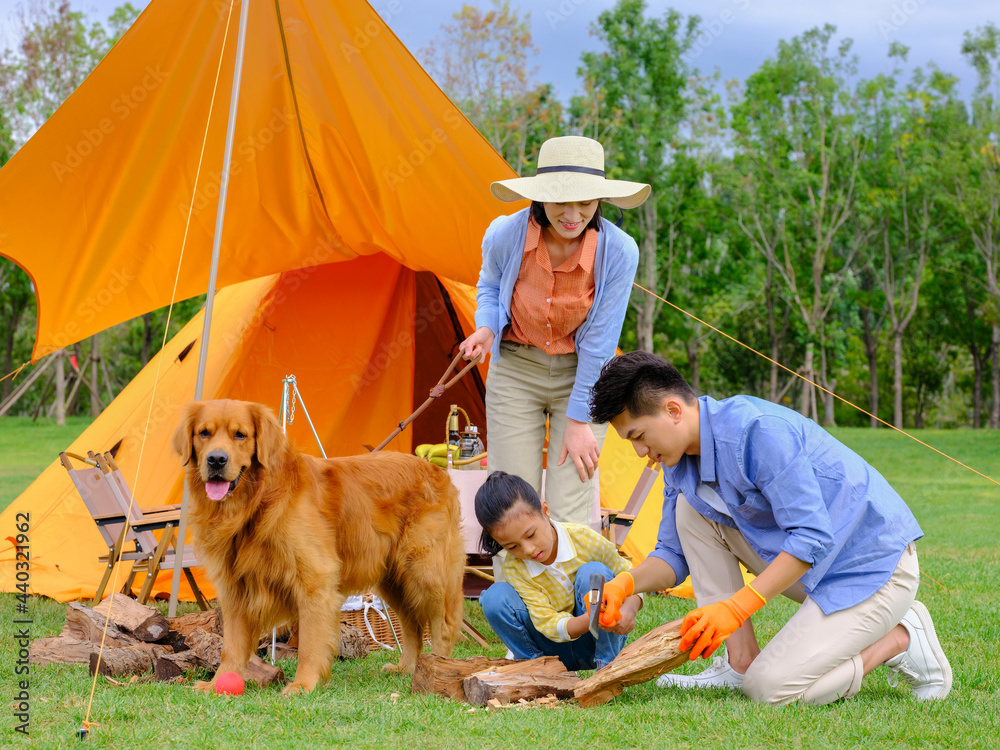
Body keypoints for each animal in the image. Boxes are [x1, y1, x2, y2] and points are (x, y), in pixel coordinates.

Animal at [171, 400, 464, 700]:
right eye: (204, 433)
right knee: (412, 624)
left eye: (240, 435)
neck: (257, 502)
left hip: (425, 572)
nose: (216, 460)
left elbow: (310, 644)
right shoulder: (235, 588)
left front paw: (304, 684)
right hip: (394, 579)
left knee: (443, 625)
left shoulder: (315, 580)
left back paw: (433, 669)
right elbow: (231, 645)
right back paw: (407, 668)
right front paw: (219, 683)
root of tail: (436, 470)